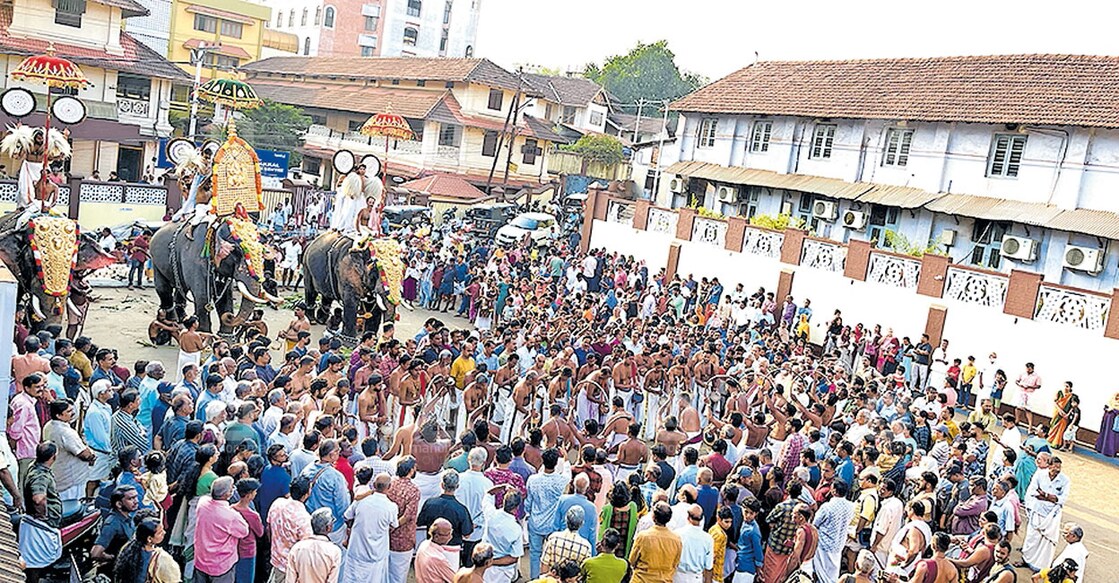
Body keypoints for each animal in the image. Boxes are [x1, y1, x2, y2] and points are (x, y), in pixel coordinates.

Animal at [149, 214, 281, 333]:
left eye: (262, 253)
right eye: (237, 251)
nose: (230, 316)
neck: (216, 227)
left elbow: (225, 296)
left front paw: (226, 338)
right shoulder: (195, 258)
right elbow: (202, 296)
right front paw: (205, 335)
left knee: (181, 288)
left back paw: (183, 320)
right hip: (156, 261)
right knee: (163, 289)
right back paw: (173, 323)